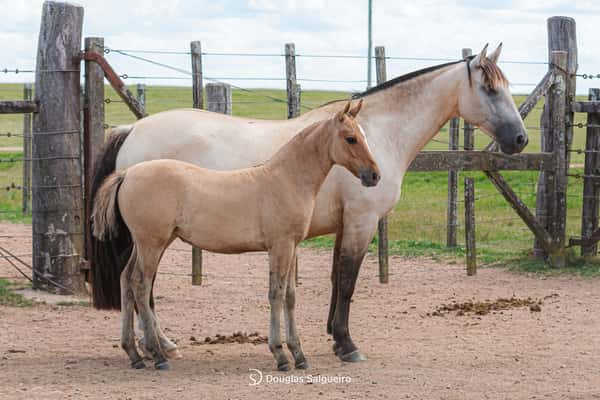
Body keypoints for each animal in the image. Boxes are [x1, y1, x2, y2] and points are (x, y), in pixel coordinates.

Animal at [90, 99, 380, 368]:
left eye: (366, 136)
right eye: (351, 138)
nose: (375, 176)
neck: (286, 179)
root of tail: (127, 174)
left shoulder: (293, 247)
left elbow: (289, 296)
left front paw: (298, 355)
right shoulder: (280, 246)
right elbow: (275, 294)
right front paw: (281, 355)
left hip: (147, 243)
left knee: (126, 280)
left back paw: (134, 354)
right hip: (151, 244)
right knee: (141, 285)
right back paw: (158, 355)